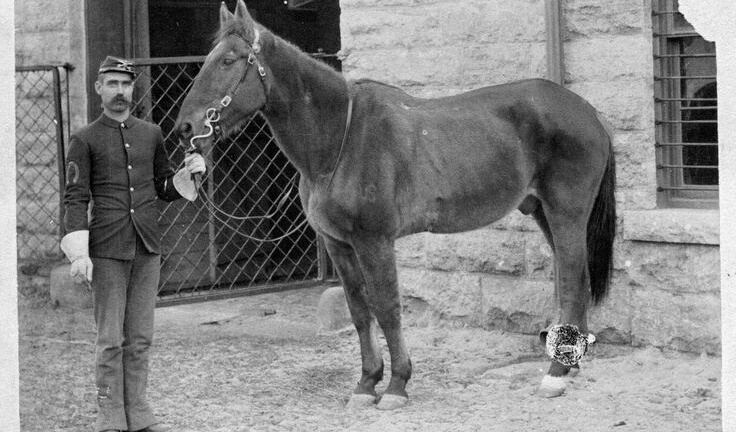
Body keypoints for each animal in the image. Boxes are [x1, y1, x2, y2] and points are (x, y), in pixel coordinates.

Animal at [175, 0, 616, 410]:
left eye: (228, 60)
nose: (185, 127)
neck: (340, 141)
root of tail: (587, 111)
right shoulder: (339, 244)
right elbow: (359, 311)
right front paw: (366, 383)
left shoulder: (375, 241)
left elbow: (387, 308)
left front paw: (397, 385)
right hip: (542, 211)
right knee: (577, 280)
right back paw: (570, 365)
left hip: (565, 212)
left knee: (572, 281)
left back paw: (555, 374)